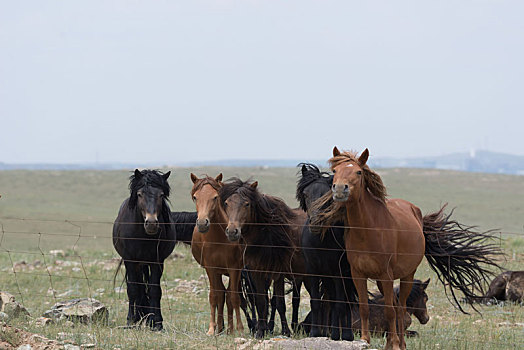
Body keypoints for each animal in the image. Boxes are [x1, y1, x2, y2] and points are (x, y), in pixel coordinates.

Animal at [112, 170, 196, 330]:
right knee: (137, 287)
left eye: (161, 195)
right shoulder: (130, 260)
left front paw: (156, 322)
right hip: (137, 264)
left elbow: (155, 290)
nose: (151, 223)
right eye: (139, 194)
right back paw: (138, 316)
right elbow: (132, 289)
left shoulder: (157, 261)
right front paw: (130, 320)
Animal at [189, 174, 247, 334]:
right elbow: (214, 296)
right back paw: (221, 328)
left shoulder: (234, 269)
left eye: (215, 197)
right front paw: (211, 329)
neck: (218, 238)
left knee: (229, 295)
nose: (202, 223)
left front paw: (239, 329)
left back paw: (230, 329)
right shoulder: (211, 269)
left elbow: (234, 297)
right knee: (221, 294)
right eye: (195, 197)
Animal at [220, 179, 310, 338]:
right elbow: (261, 301)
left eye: (247, 204)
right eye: (226, 203)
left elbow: (279, 303)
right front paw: (261, 330)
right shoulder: (256, 271)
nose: (232, 231)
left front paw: (285, 331)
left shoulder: (278, 273)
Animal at [296, 165, 358, 342]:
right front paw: (315, 332)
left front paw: (342, 335)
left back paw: (345, 334)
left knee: (346, 300)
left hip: (346, 276)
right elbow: (316, 302)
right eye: (306, 194)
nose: (316, 223)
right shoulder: (313, 271)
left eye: (327, 196)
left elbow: (341, 304)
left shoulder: (338, 272)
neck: (321, 243)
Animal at [312, 148, 504, 350]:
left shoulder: (386, 275)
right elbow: (364, 308)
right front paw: (365, 340)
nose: (340, 189)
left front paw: (394, 345)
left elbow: (390, 311)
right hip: (382, 280)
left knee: (400, 306)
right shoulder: (358, 274)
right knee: (396, 306)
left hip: (406, 276)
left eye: (358, 172)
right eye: (335, 171)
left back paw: (399, 343)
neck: (368, 231)